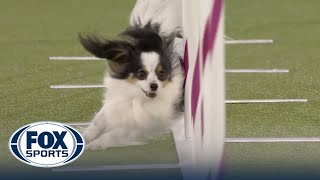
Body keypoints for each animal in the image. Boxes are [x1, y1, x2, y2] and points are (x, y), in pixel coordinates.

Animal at [79, 0, 182, 150]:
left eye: (162, 74)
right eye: (141, 73)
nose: (154, 86)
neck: (138, 96)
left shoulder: (146, 124)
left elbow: (116, 133)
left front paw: (96, 144)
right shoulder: (115, 104)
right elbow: (96, 125)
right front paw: (84, 138)